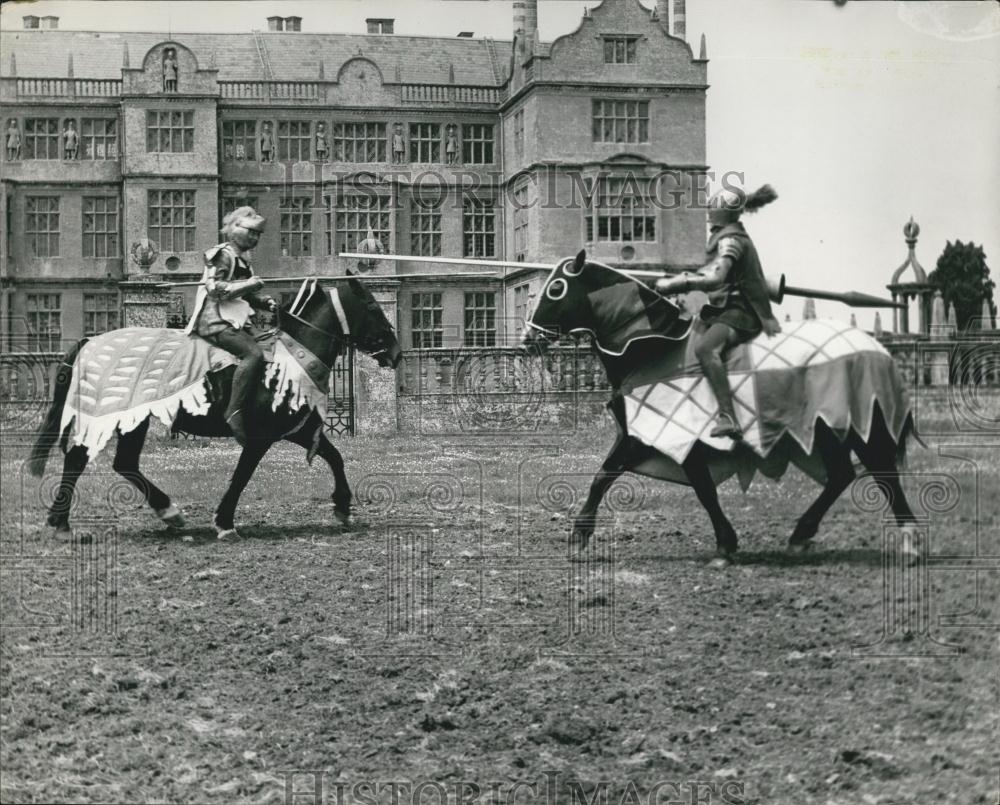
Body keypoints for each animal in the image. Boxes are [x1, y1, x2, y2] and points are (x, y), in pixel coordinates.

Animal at [27, 276, 402, 540]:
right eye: (372, 307)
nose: (396, 353)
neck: (290, 358)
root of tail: (89, 342)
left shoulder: (298, 431)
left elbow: (334, 457)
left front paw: (343, 506)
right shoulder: (260, 438)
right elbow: (242, 476)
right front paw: (224, 522)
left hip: (134, 421)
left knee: (120, 463)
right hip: (123, 419)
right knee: (83, 459)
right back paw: (65, 522)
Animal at [524, 254, 920, 564]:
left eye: (556, 288)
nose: (528, 339)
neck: (651, 347)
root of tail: (879, 351)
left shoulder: (660, 436)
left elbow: (610, 477)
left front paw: (579, 537)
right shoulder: (665, 441)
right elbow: (691, 487)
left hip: (858, 425)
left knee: (882, 475)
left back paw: (909, 541)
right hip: (831, 431)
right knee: (842, 475)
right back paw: (802, 535)